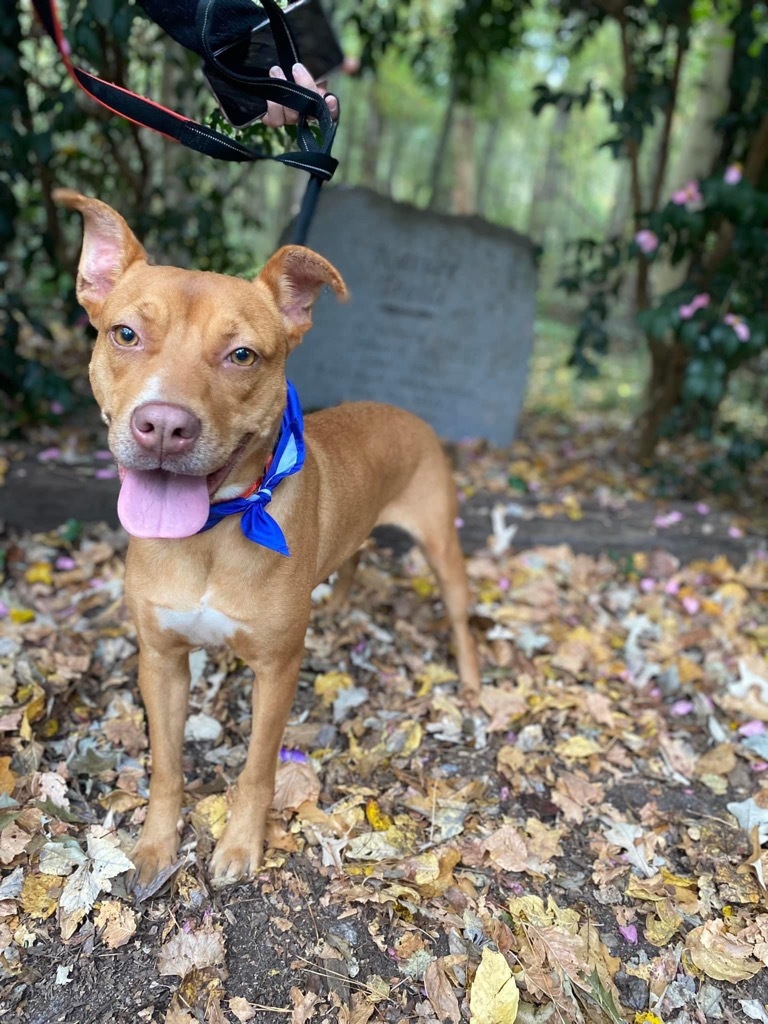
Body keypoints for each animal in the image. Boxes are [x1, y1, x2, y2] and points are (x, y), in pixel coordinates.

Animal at [55, 192, 481, 888]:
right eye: (125, 335)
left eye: (242, 356)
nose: (163, 426)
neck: (211, 532)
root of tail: (405, 413)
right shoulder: (161, 660)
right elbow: (167, 767)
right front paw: (155, 846)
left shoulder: (277, 671)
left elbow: (256, 770)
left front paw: (238, 845)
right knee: (353, 560)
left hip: (442, 547)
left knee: (460, 617)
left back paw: (470, 683)